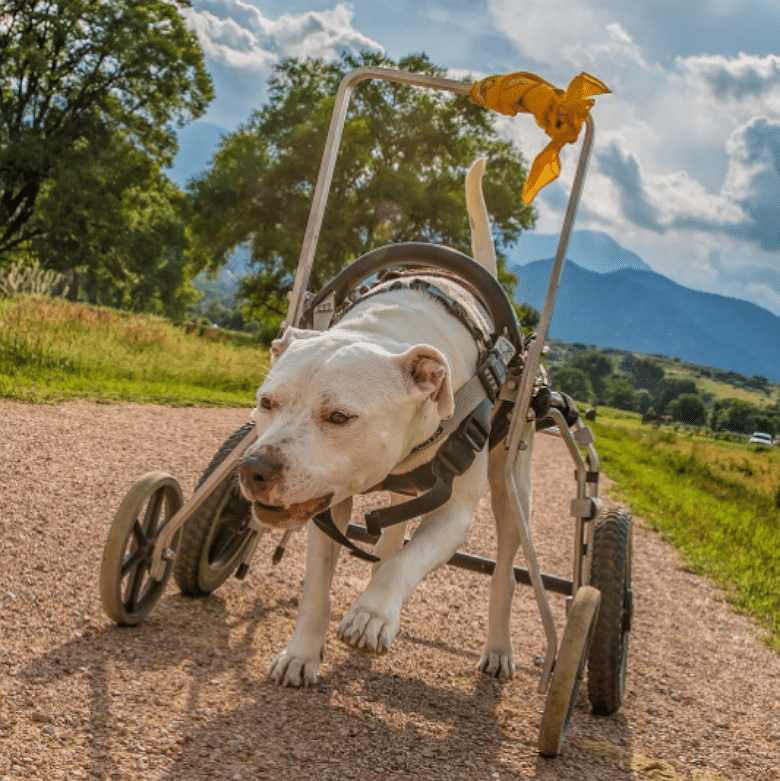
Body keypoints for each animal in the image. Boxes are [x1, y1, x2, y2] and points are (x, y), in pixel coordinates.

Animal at [236, 161, 532, 684]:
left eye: (339, 416)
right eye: (266, 402)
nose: (255, 469)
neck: (387, 331)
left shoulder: (454, 515)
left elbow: (408, 562)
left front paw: (372, 615)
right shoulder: (327, 503)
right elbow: (317, 586)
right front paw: (301, 653)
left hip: (513, 487)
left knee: (503, 572)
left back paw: (499, 647)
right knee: (393, 534)